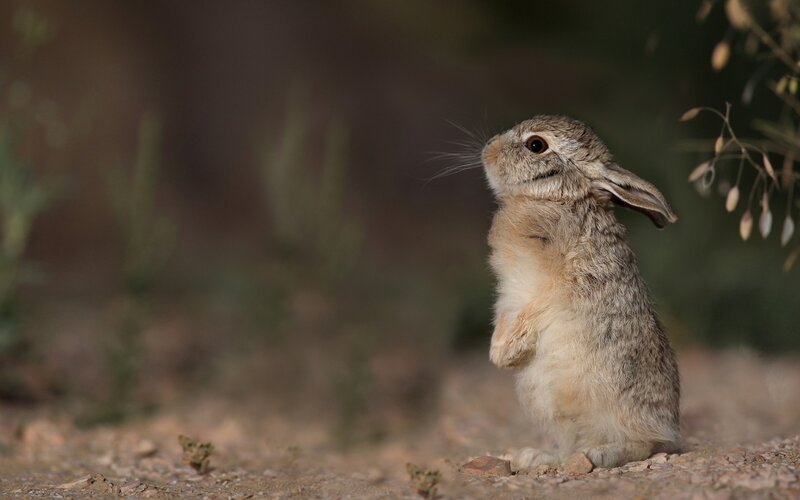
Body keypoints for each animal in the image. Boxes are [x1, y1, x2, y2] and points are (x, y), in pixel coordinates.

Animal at [481, 115, 680, 471]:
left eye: (536, 145)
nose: (488, 149)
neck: (554, 199)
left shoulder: (564, 285)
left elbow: (539, 308)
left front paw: (505, 354)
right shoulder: (509, 295)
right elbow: (506, 316)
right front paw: (501, 354)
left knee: (642, 444)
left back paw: (599, 454)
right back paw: (537, 456)